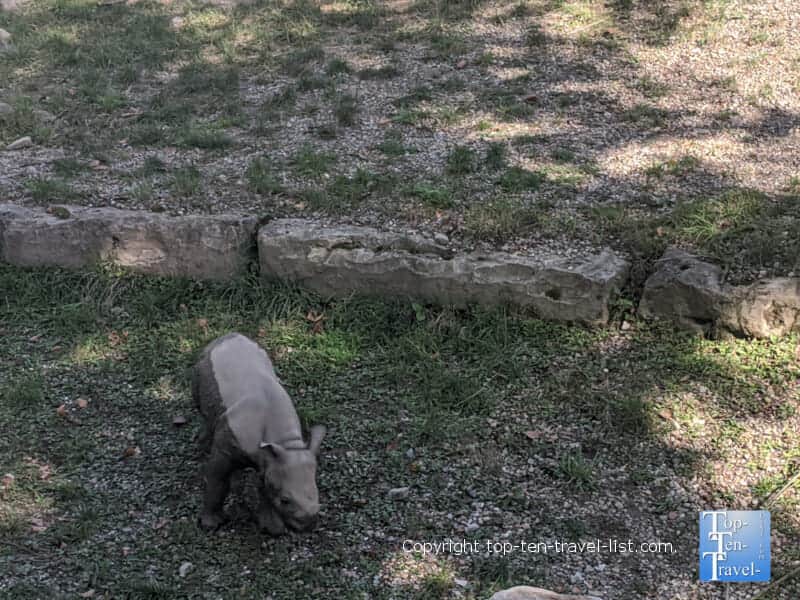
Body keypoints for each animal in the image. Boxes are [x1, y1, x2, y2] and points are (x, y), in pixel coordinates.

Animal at [192, 332, 326, 535]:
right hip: (203, 362)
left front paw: (272, 527)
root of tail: (227, 335)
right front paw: (211, 524)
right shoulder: (227, 446)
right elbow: (217, 480)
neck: (284, 441)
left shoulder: (273, 459)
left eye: (318, 495)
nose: (308, 525)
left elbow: (266, 485)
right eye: (285, 501)